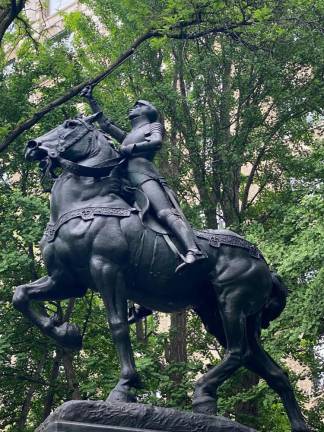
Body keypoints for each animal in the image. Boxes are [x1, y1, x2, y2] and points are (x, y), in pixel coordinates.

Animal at [12, 115, 312, 432]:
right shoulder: (67, 279)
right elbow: (20, 296)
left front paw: (124, 387)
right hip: (220, 315)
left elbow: (118, 326)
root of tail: (265, 264)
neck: (86, 202)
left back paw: (202, 393)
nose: (32, 146)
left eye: (70, 124)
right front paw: (66, 333)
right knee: (271, 370)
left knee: (238, 352)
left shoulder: (106, 269)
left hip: (232, 303)